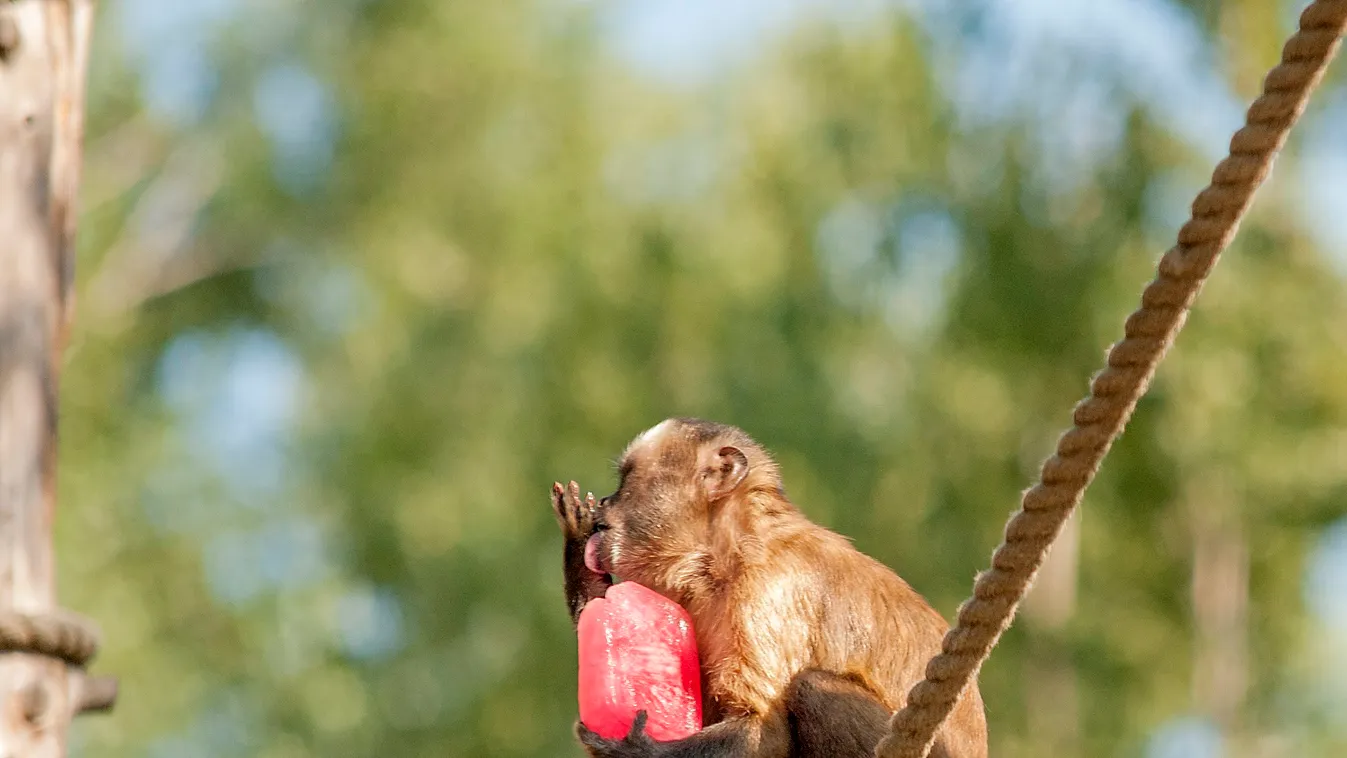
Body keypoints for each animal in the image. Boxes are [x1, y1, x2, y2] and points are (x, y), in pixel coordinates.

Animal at [549, 417, 991, 753]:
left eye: (626, 481)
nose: (607, 504)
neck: (726, 554)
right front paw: (580, 545)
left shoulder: (769, 587)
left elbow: (763, 730)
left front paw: (636, 749)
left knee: (813, 689)